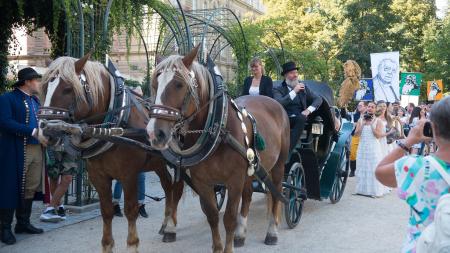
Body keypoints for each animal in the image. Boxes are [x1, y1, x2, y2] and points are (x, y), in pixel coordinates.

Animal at [37, 54, 184, 252]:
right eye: (45, 87)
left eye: (68, 88)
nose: (44, 132)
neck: (111, 128)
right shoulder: (98, 176)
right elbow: (106, 212)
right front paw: (107, 245)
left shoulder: (128, 175)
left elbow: (131, 210)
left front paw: (132, 245)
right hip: (158, 164)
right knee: (168, 187)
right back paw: (165, 224)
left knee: (177, 189)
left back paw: (171, 228)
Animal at [146, 46, 290, 253]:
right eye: (155, 84)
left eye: (179, 84)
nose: (154, 133)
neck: (218, 128)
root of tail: (274, 103)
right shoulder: (203, 182)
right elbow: (212, 215)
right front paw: (219, 245)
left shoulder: (234, 180)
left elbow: (228, 218)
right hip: (251, 168)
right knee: (248, 196)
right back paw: (241, 234)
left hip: (278, 165)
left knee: (276, 193)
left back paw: (272, 232)